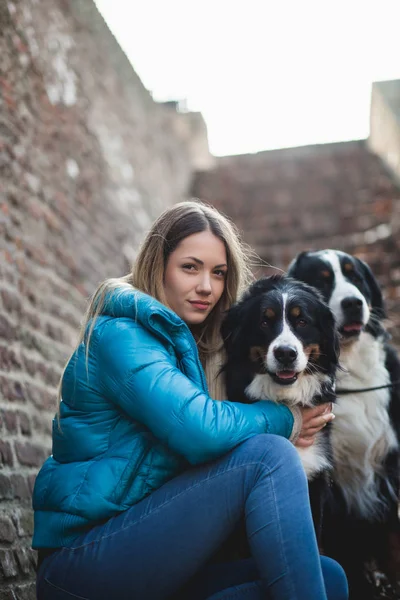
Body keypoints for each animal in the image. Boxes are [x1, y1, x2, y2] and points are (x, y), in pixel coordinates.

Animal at [288, 248, 400, 596]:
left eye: (355, 276)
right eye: (323, 282)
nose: (353, 303)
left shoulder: (388, 464)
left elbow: (392, 542)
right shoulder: (330, 483)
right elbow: (342, 552)